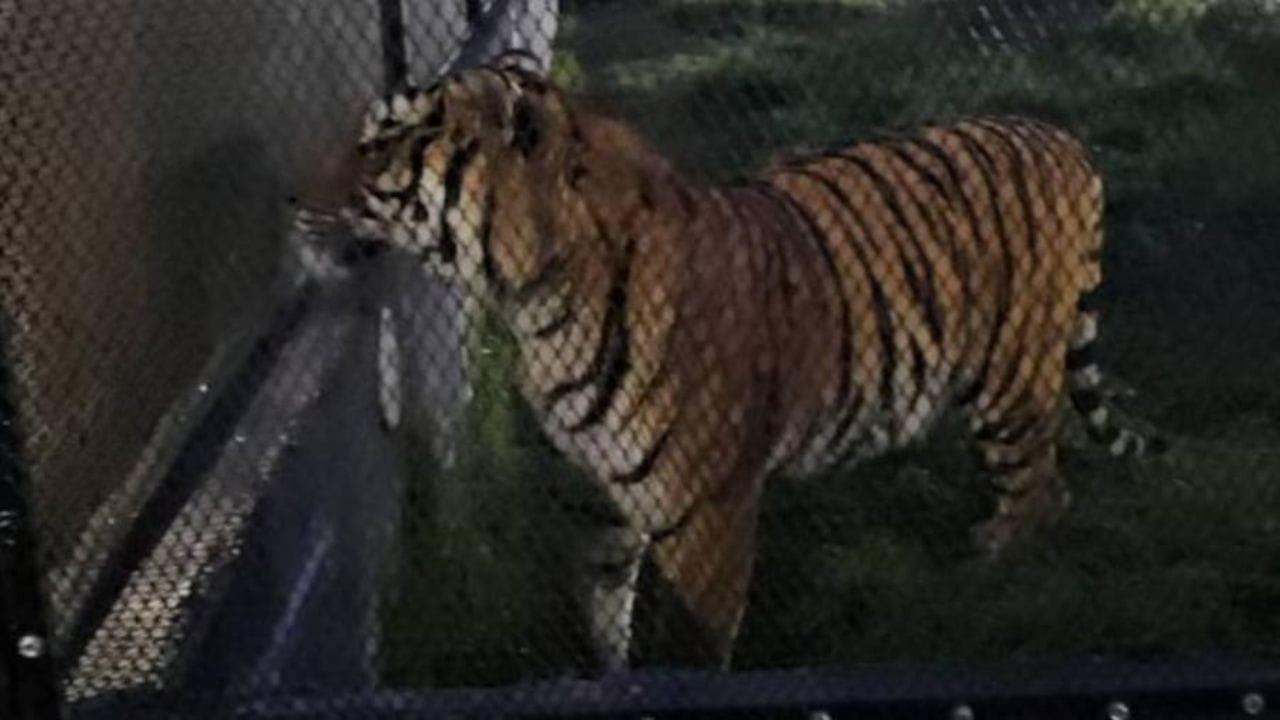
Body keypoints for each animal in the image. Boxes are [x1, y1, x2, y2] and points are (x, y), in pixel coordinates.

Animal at [322, 59, 1165, 672]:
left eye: (383, 140)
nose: (299, 194)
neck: (531, 301)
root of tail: (1061, 137)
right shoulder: (603, 495)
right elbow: (605, 613)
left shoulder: (708, 515)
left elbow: (696, 647)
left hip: (1011, 384)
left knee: (1039, 490)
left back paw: (987, 586)